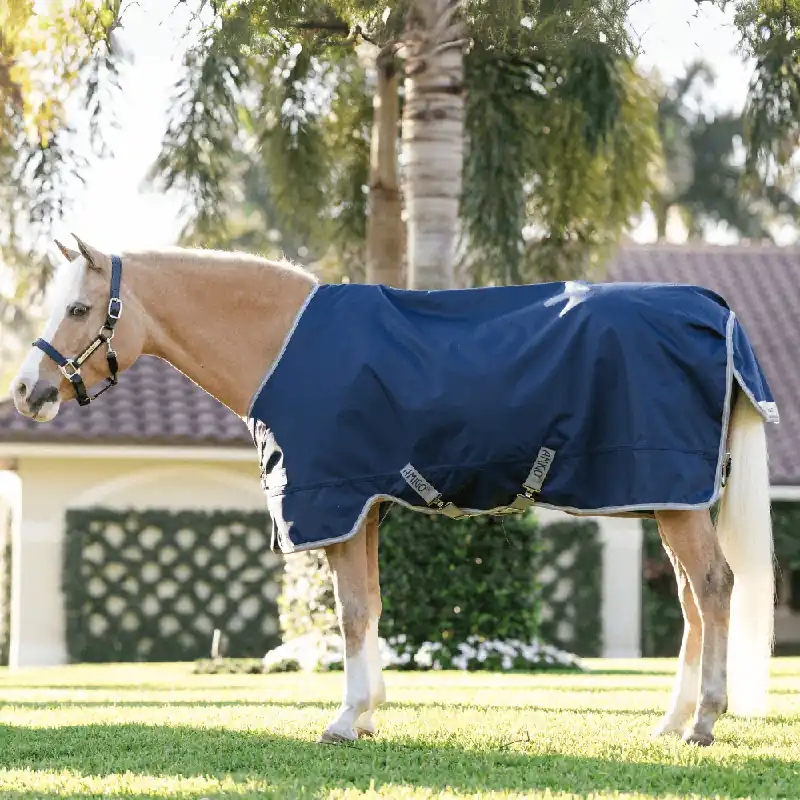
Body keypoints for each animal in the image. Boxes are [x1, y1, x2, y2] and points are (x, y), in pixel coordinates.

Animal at [10, 236, 776, 747]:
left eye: (77, 308)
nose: (25, 392)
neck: (283, 345)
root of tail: (714, 311)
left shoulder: (336, 504)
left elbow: (350, 613)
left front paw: (346, 719)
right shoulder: (367, 510)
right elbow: (372, 606)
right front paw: (370, 711)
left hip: (673, 499)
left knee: (713, 586)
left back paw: (704, 722)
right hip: (670, 499)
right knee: (691, 599)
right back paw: (670, 722)